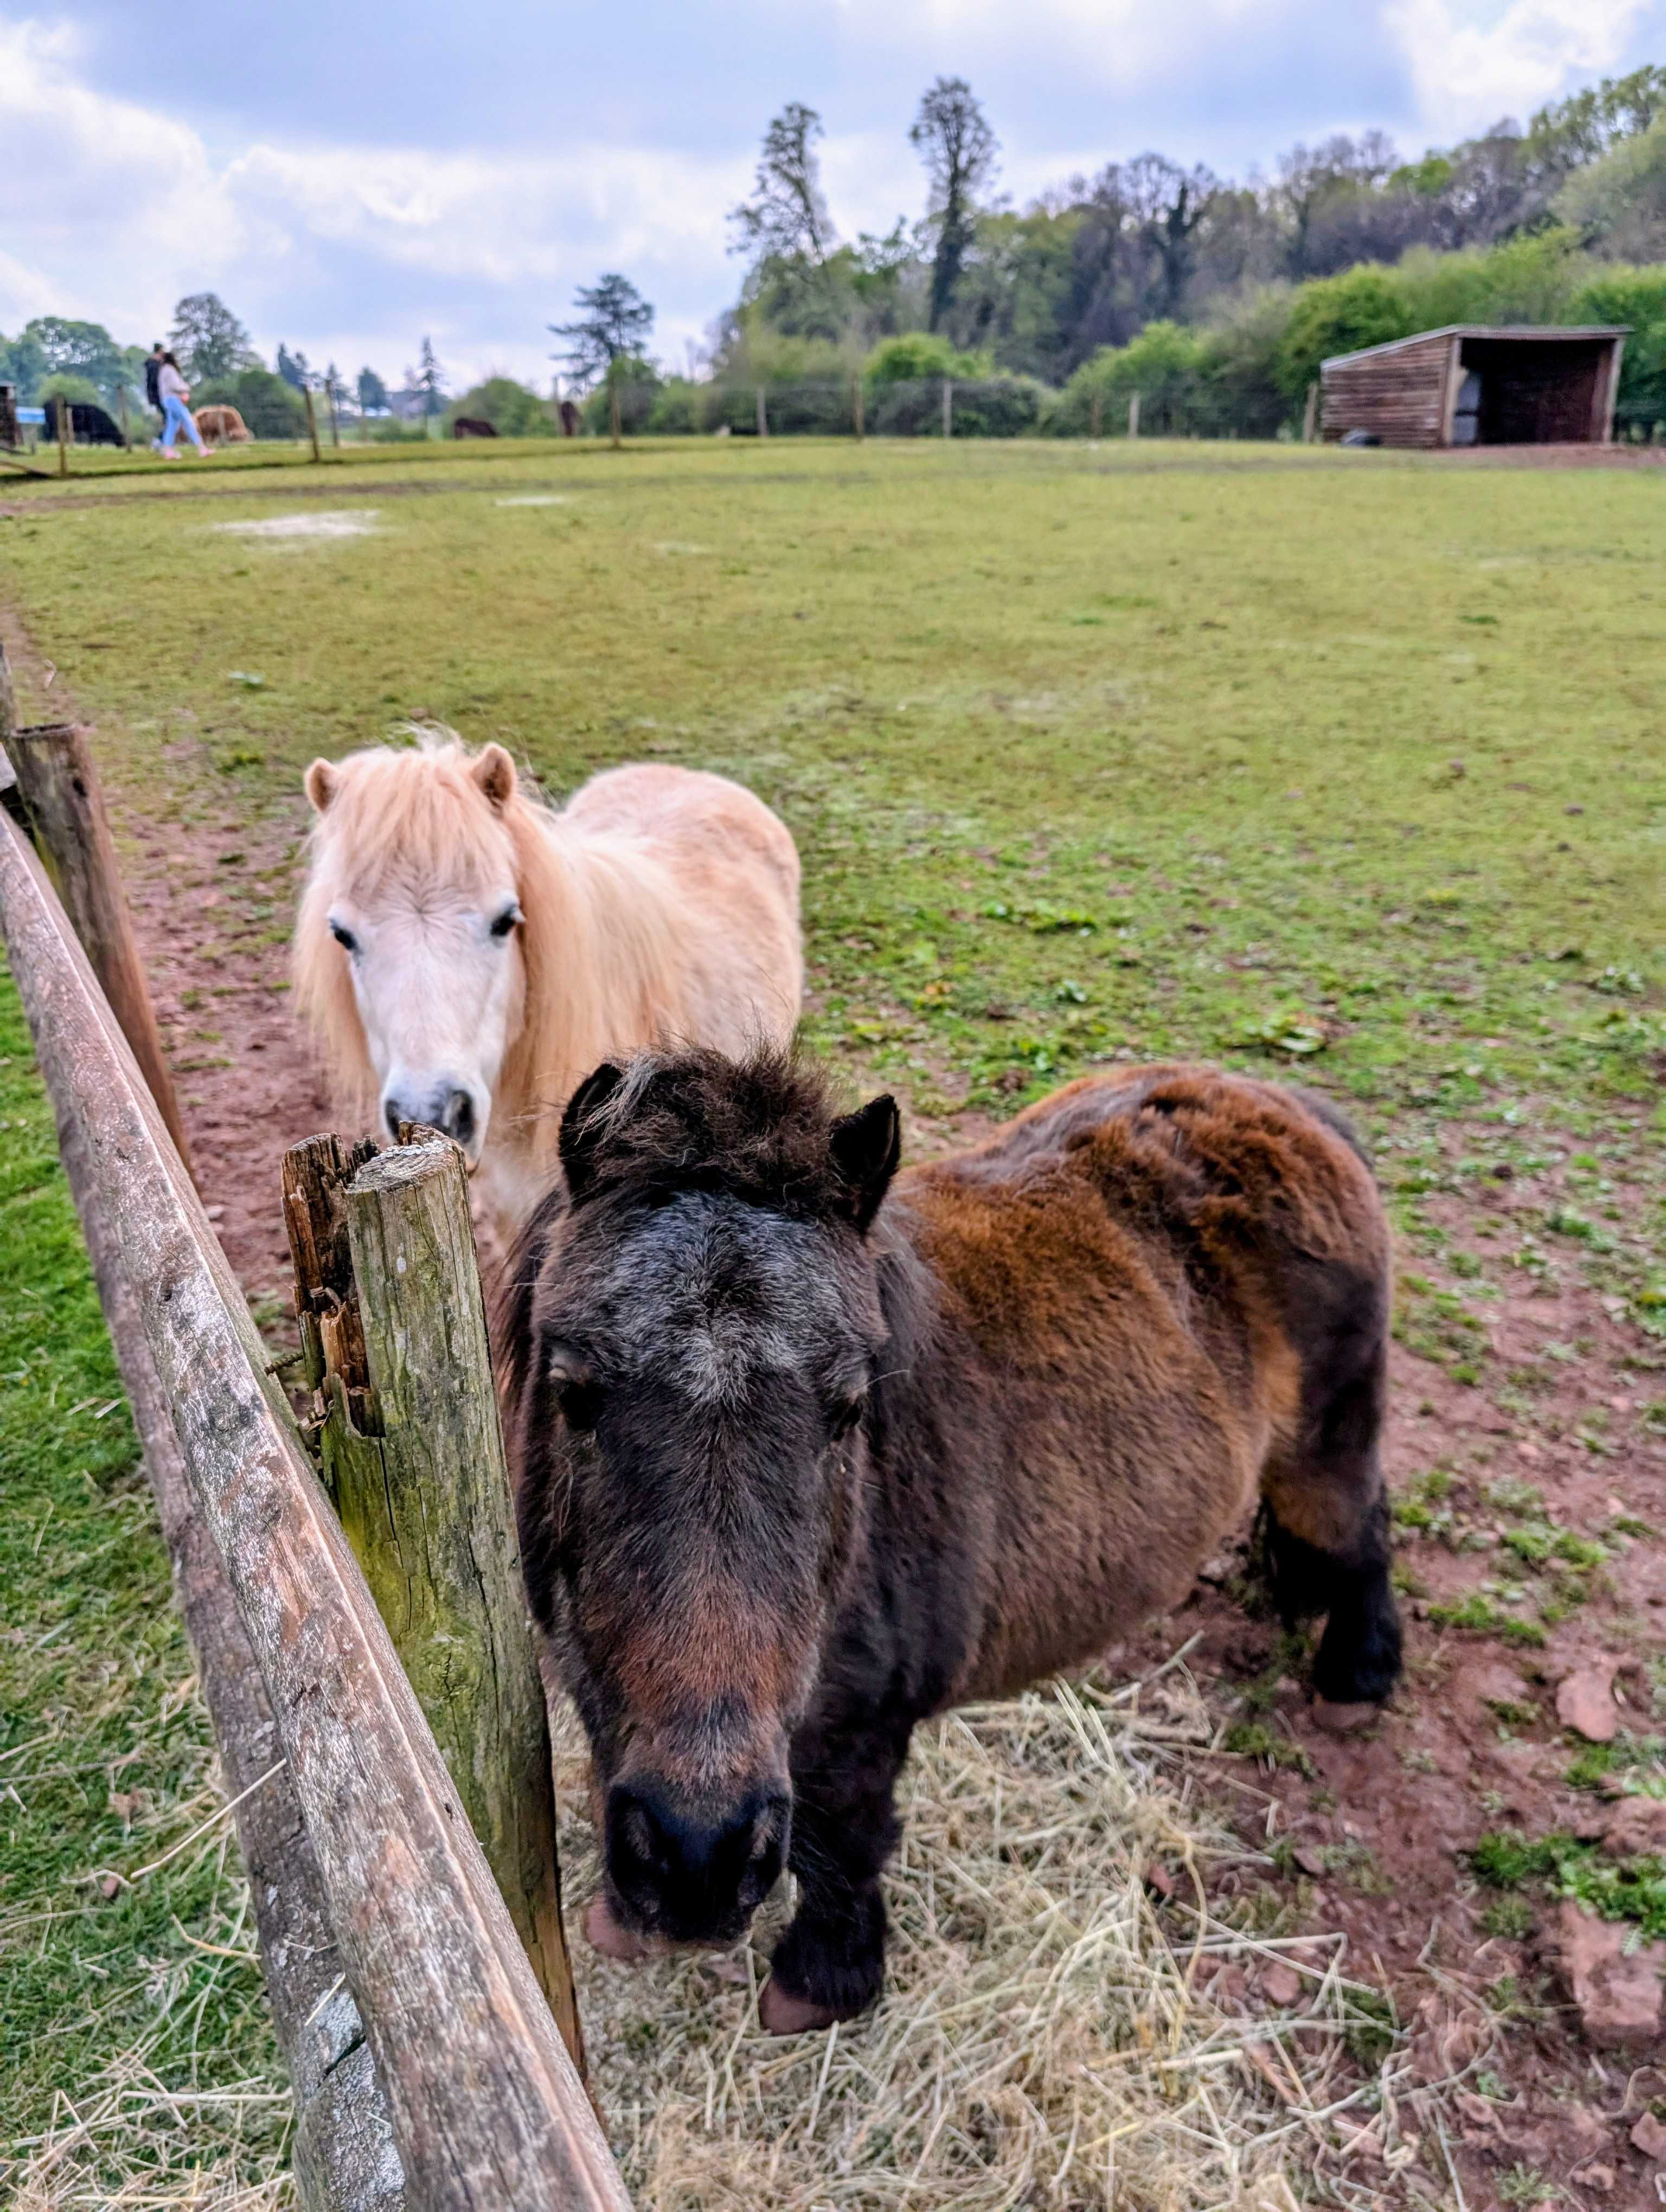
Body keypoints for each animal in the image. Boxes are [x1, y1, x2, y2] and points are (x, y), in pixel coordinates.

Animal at [500, 1048, 1402, 2033]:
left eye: (848, 1408)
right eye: (572, 1391)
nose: (699, 1860)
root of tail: (1289, 1106)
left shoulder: (861, 1730)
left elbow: (843, 1843)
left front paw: (822, 1983)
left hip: (1326, 1446)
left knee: (1361, 1531)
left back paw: (1355, 1677)